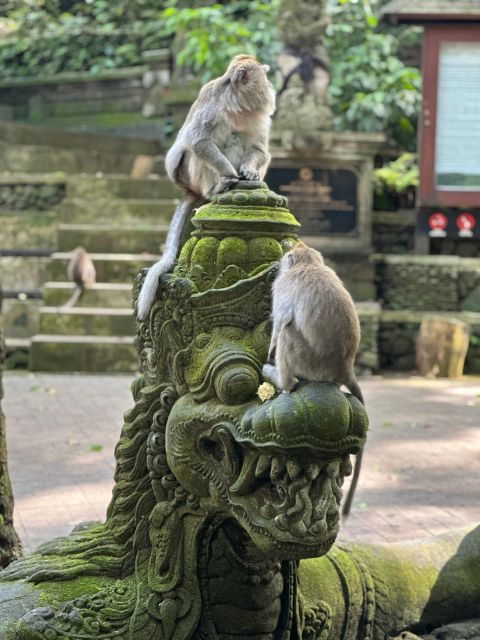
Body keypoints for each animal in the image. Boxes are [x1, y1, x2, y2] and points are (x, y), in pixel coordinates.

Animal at [137, 54, 276, 320]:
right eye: (264, 76)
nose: (272, 87)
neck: (238, 107)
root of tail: (192, 190)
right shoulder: (211, 109)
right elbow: (197, 140)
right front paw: (230, 173)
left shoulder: (259, 118)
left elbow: (260, 150)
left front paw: (250, 171)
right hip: (192, 176)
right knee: (203, 147)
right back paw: (218, 187)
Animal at [262, 241, 364, 520]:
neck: (310, 265)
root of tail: (345, 367)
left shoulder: (281, 287)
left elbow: (280, 322)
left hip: (307, 359)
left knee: (287, 330)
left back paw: (282, 381)